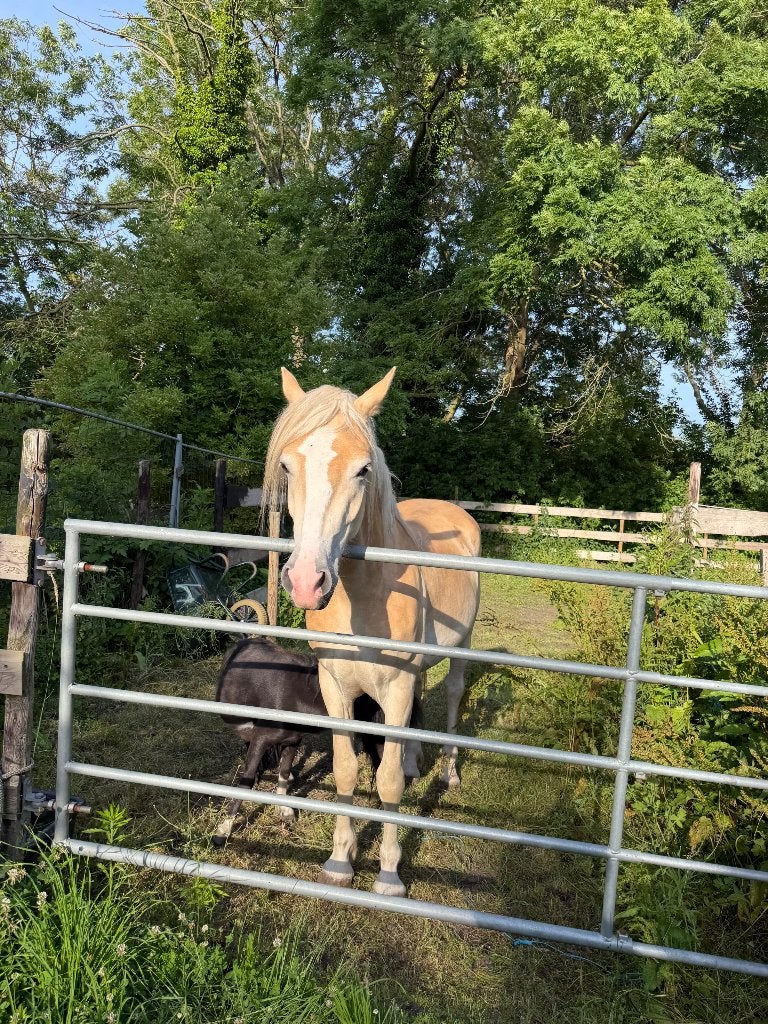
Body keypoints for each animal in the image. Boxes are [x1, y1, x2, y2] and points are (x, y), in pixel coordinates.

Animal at [212, 637, 423, 846]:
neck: (296, 699)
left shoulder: (293, 740)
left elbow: (284, 771)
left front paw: (285, 810)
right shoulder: (261, 739)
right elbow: (246, 781)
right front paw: (223, 830)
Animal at [262, 366, 480, 896]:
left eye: (363, 469)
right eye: (287, 466)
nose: (307, 582)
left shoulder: (395, 686)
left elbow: (387, 784)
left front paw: (388, 873)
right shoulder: (335, 686)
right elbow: (346, 771)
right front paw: (341, 861)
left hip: (462, 648)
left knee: (453, 700)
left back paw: (447, 774)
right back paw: (414, 761)